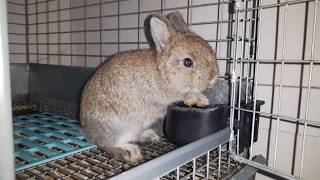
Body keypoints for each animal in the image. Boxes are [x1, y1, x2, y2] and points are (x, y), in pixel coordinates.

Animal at [80, 11, 220, 163]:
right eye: (187, 62)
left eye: (211, 51)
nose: (213, 77)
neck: (162, 72)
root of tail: (88, 133)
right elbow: (184, 95)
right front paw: (201, 99)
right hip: (118, 127)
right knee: (112, 143)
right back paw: (131, 151)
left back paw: (150, 135)